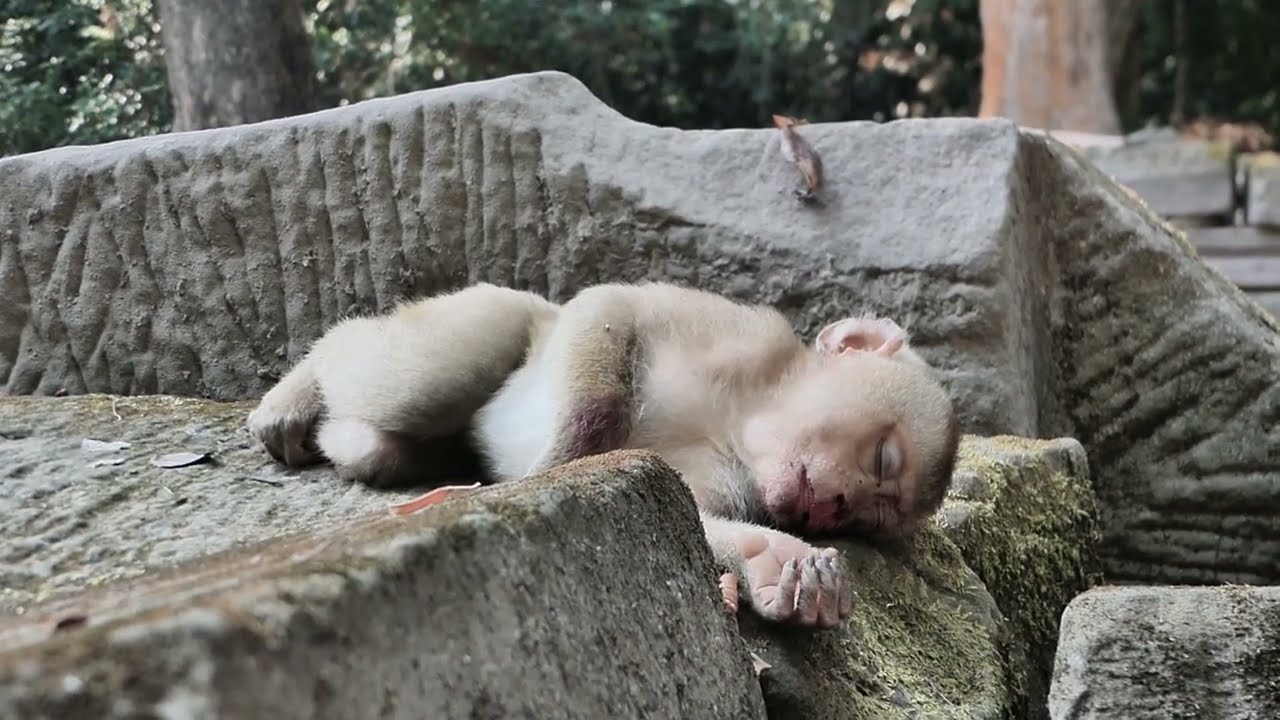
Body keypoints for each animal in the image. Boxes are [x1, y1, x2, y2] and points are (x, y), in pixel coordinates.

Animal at [247, 282, 961, 629]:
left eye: (868, 516)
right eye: (883, 459)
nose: (833, 506)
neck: (740, 417)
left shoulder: (738, 477)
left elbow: (689, 516)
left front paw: (774, 562)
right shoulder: (736, 330)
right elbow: (611, 309)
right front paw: (564, 460)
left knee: (384, 442)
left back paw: (355, 440)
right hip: (500, 313)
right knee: (424, 376)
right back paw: (305, 383)